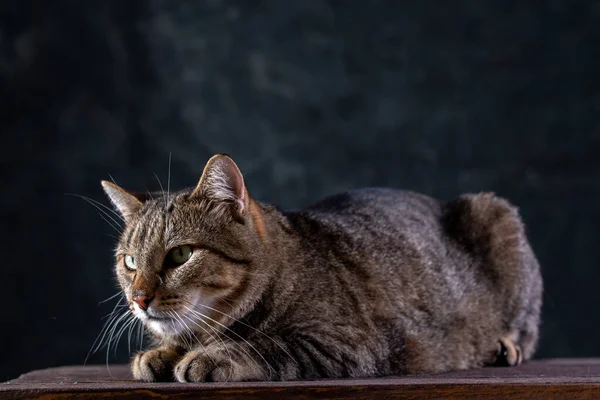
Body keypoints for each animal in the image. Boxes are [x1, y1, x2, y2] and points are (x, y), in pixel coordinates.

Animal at [102, 153, 544, 382]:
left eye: (180, 255)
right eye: (130, 261)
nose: (138, 298)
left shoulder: (347, 344)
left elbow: (266, 345)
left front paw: (209, 356)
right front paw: (160, 352)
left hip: (496, 214)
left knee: (528, 330)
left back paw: (505, 347)